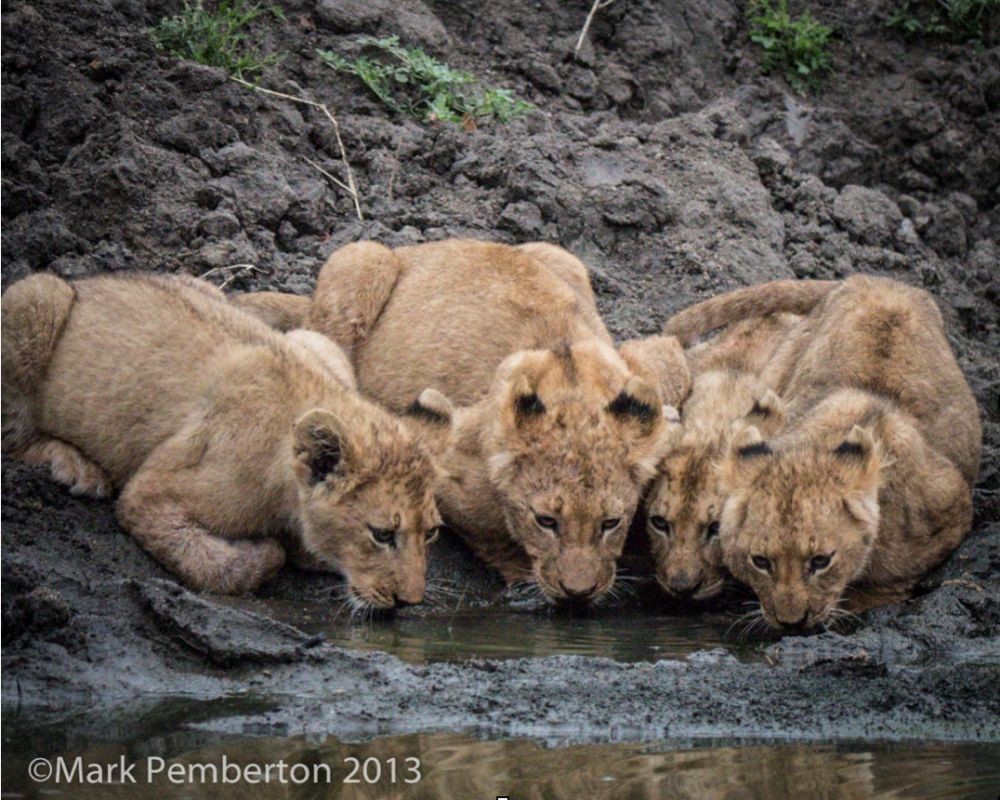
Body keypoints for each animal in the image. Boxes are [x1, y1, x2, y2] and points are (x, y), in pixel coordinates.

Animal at [2, 272, 441, 606]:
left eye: (432, 532)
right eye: (382, 534)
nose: (410, 602)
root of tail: (84, 281)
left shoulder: (314, 346)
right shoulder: (151, 492)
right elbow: (212, 566)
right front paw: (268, 551)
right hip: (35, 298)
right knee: (12, 434)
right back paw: (74, 465)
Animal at [665, 276, 980, 629]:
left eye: (820, 561)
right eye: (761, 561)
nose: (791, 623)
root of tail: (875, 279)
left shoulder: (951, 503)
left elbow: (892, 579)